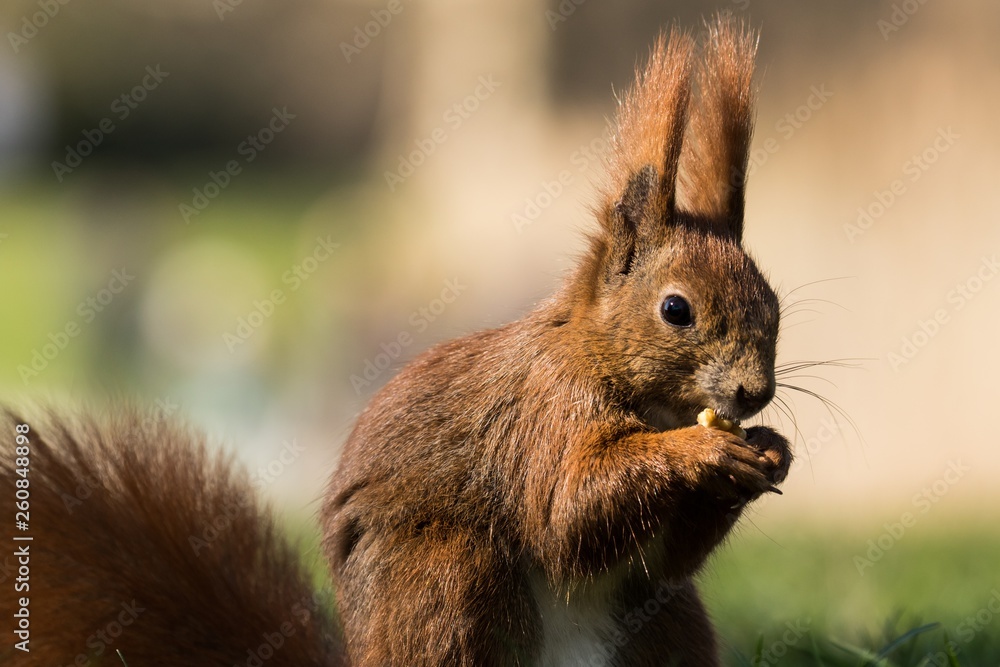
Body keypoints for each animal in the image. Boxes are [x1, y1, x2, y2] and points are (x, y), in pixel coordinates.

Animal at [1, 15, 791, 667]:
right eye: (675, 309)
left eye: (776, 304)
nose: (755, 392)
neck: (612, 369)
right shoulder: (541, 415)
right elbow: (567, 511)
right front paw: (703, 451)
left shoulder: (648, 553)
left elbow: (661, 560)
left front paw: (771, 451)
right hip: (444, 575)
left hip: (667, 624)